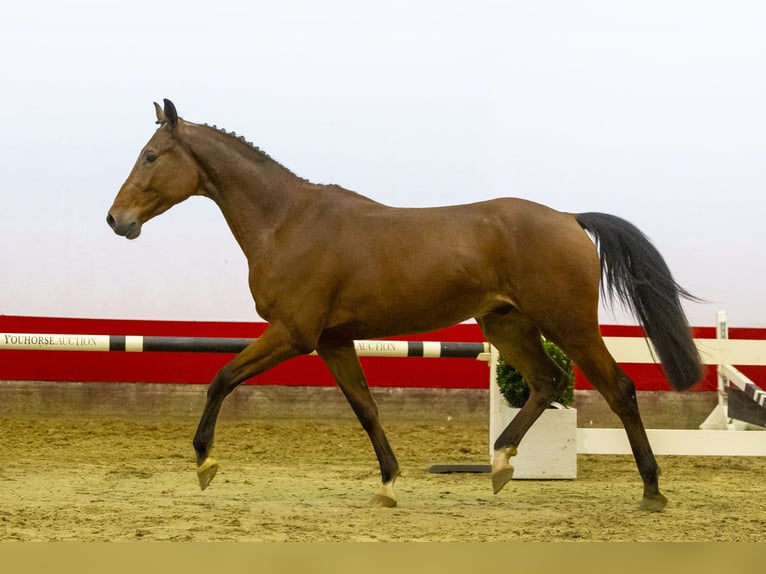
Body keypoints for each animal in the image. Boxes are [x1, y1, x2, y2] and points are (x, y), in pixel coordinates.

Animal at [106, 99, 704, 512]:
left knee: (618, 388)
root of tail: (569, 218)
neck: (287, 221)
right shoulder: (332, 340)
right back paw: (500, 462)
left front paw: (204, 461)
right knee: (546, 382)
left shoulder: (294, 334)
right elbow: (366, 408)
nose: (116, 219)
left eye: (151, 155)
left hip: (569, 324)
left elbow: (221, 378)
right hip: (507, 326)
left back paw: (651, 490)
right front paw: (389, 484)